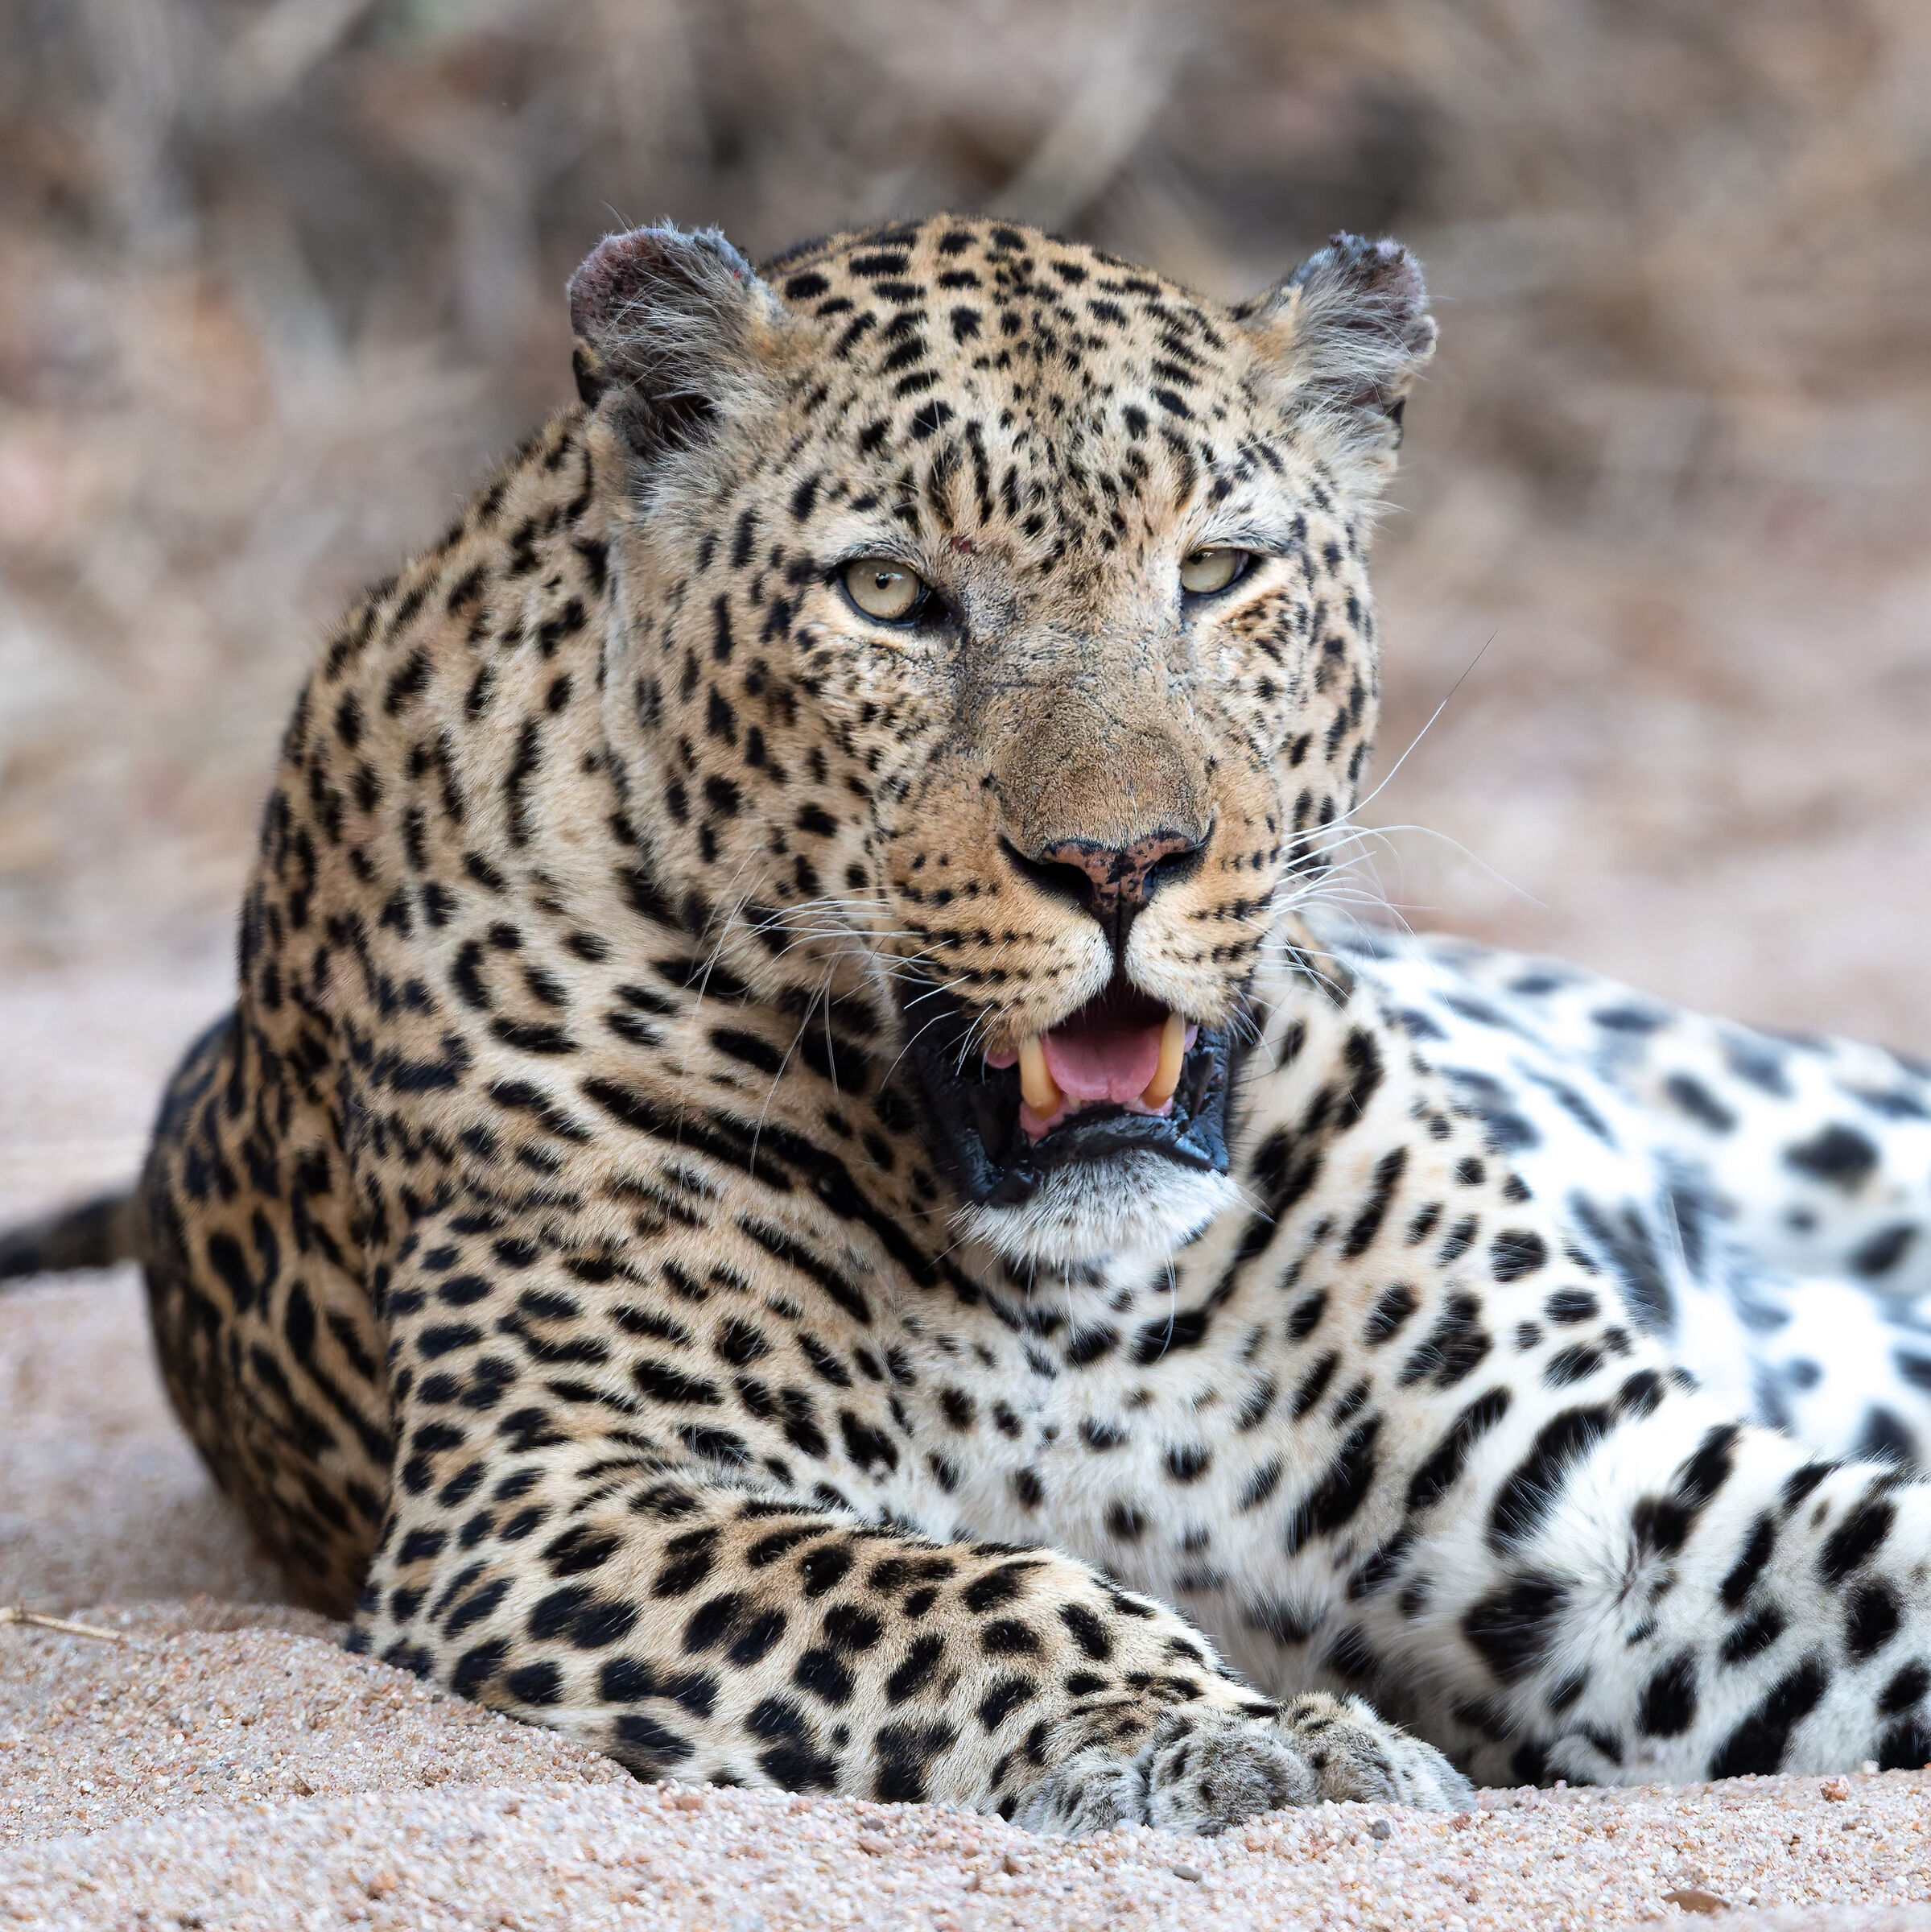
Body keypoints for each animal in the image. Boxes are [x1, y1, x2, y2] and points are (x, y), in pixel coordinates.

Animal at [6, 212, 1931, 1835]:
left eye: (1215, 571)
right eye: (886, 595)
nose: (1120, 861)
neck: (1092, 1294)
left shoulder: (1590, 1493)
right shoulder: (558, 1490)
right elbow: (953, 1592)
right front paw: (1217, 1737)